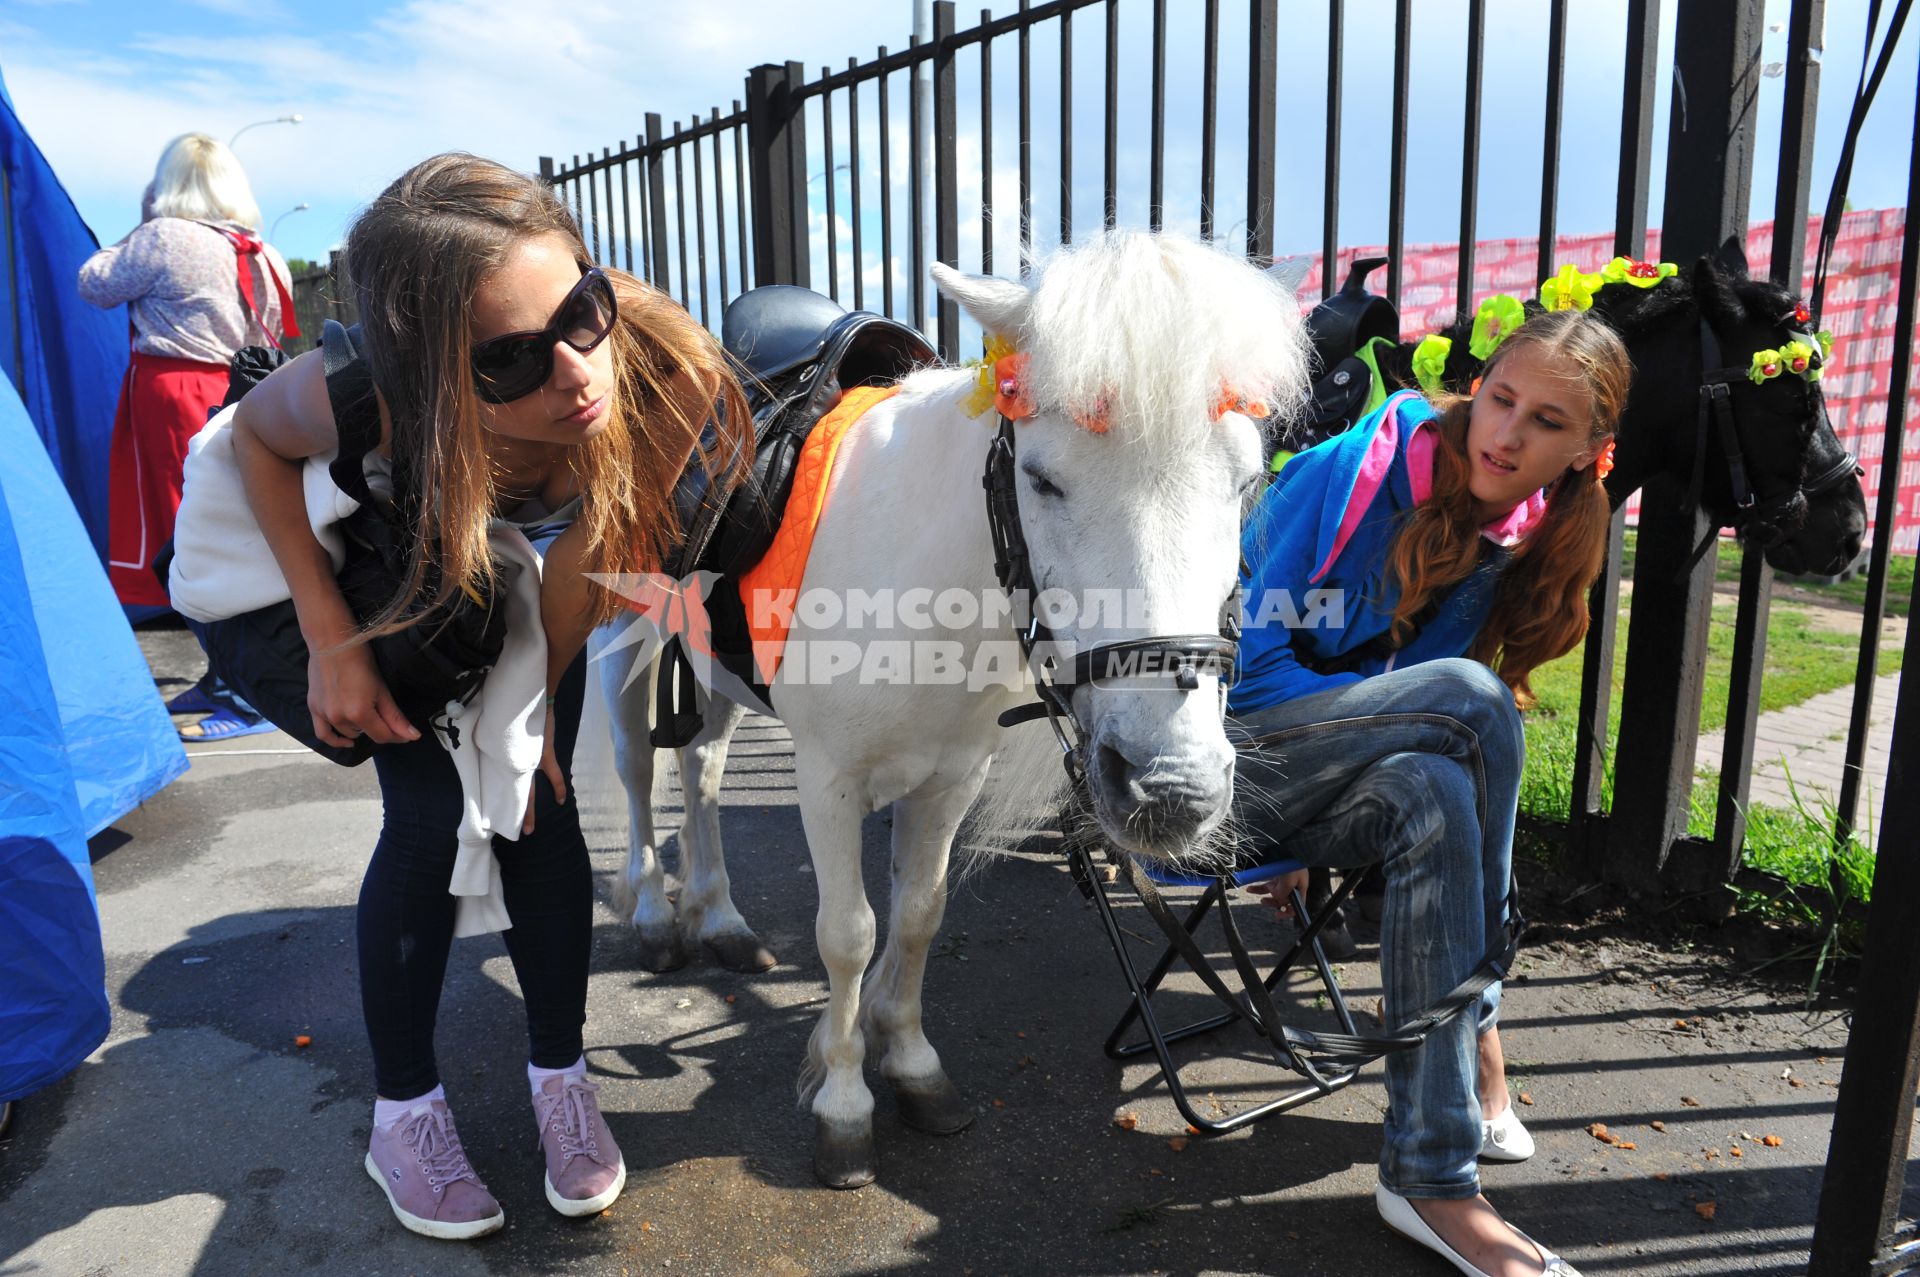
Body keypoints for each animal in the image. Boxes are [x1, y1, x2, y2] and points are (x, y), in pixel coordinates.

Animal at [591, 231, 1313, 1182]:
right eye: (1041, 479)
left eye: (1247, 481)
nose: (1170, 786)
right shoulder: (827, 779)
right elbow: (850, 931)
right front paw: (844, 1102)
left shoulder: (950, 778)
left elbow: (918, 915)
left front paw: (909, 1063)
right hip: (619, 640)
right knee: (637, 766)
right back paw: (651, 915)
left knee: (702, 764)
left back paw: (719, 915)